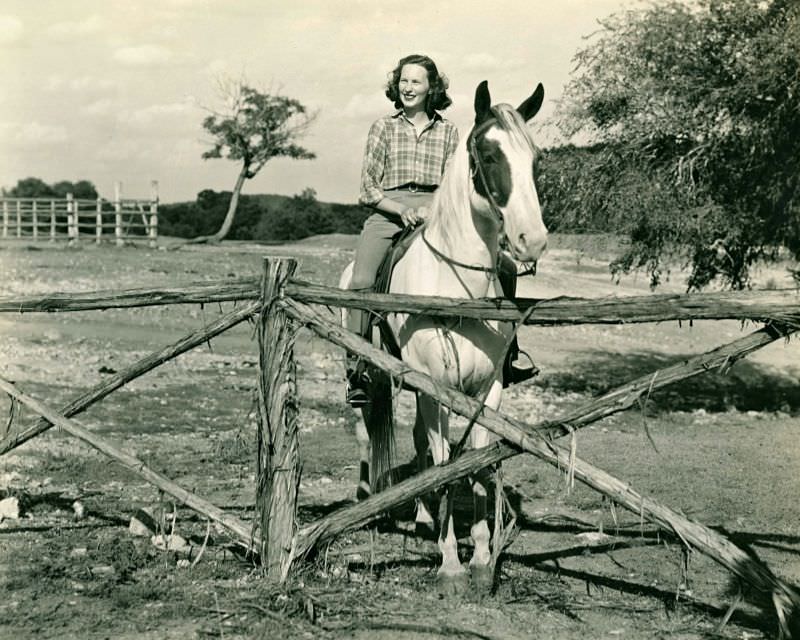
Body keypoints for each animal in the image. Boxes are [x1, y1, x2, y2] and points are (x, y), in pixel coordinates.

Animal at [338, 81, 552, 596]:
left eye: (535, 158)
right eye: (489, 156)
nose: (532, 240)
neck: (458, 289)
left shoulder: (487, 390)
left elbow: (474, 464)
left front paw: (481, 558)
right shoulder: (434, 387)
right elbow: (443, 465)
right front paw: (452, 563)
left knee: (417, 440)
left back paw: (421, 517)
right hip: (373, 378)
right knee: (368, 433)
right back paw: (371, 500)